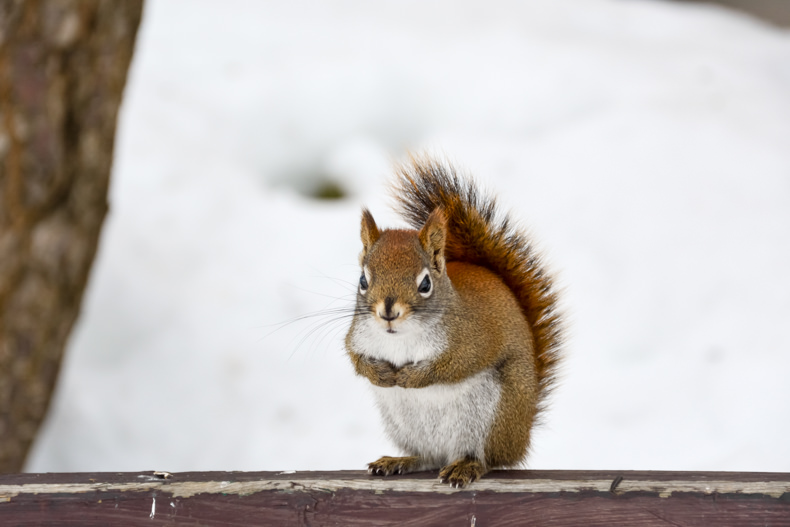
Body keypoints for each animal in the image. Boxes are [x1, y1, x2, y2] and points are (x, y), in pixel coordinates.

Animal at [346, 155, 564, 488]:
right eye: (362, 280)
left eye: (425, 284)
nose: (388, 312)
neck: (399, 337)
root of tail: (520, 438)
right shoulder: (357, 335)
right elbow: (355, 357)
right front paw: (379, 373)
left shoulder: (473, 339)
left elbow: (455, 365)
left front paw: (412, 377)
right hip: (406, 426)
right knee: (428, 457)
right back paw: (401, 461)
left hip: (492, 418)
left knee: (488, 459)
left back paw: (467, 466)